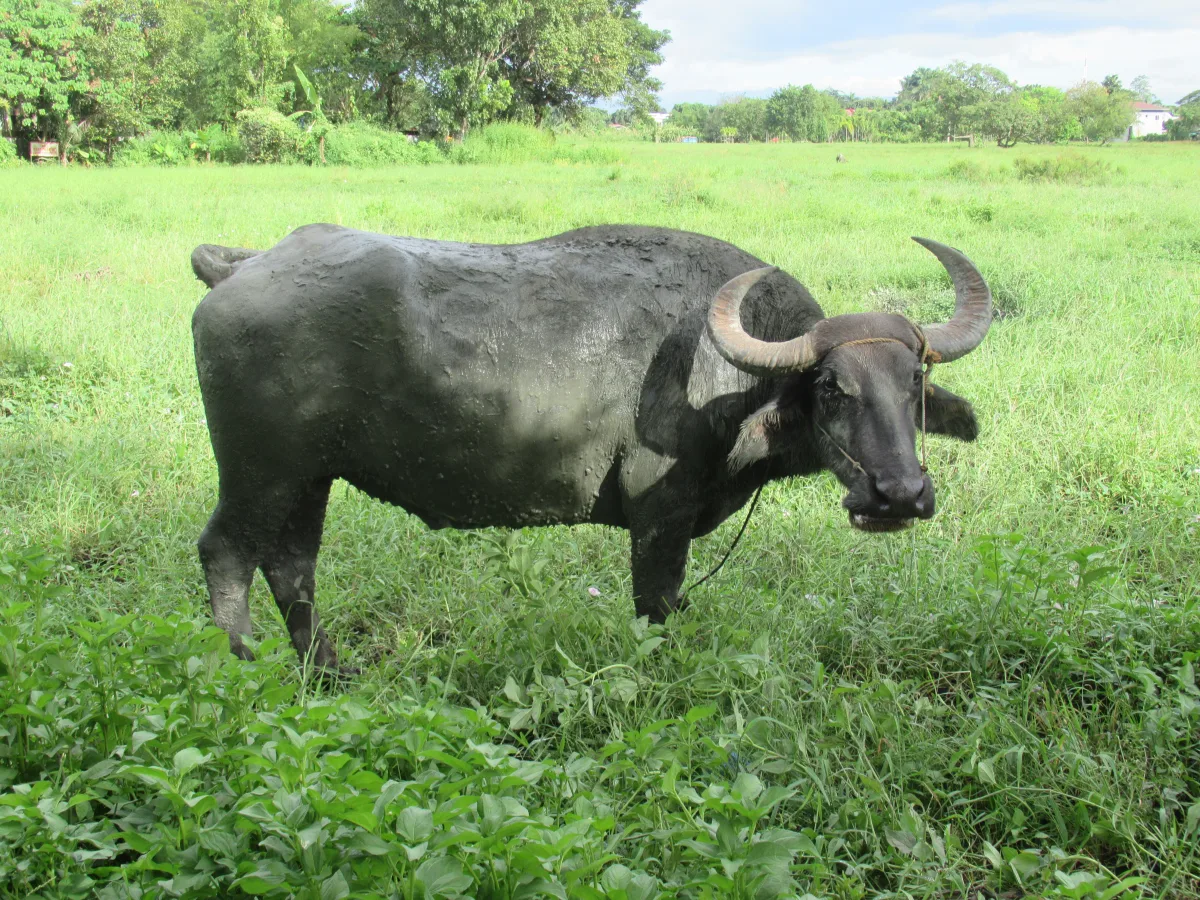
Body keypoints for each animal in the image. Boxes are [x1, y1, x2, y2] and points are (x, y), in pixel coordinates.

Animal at [191, 225, 990, 672]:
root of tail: (244, 266)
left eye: (914, 380)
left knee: (292, 565)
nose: (898, 494)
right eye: (830, 386)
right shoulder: (659, 519)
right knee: (226, 552)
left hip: (309, 478)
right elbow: (656, 608)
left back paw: (326, 673)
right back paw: (245, 664)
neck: (728, 379)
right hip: (260, 474)